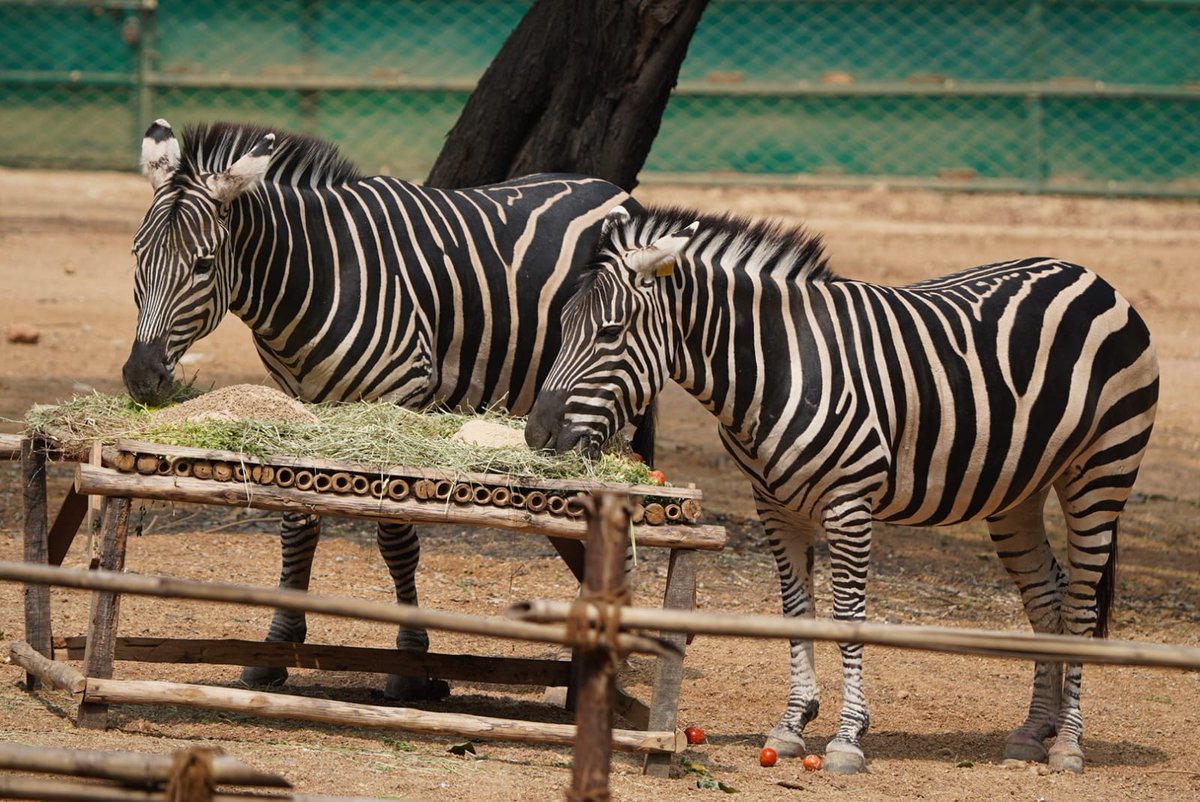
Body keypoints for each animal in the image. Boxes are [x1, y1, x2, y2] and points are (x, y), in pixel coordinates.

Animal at [123, 119, 653, 699]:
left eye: (202, 264)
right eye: (136, 255)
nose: (141, 377)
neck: (317, 276)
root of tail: (611, 189)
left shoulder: (398, 398)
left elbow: (396, 539)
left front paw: (411, 663)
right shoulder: (304, 414)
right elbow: (296, 527)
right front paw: (277, 648)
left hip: (609, 400)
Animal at [525, 204, 1159, 774]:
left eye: (609, 332)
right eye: (562, 326)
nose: (537, 435)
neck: (775, 368)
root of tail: (1089, 275)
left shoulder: (848, 503)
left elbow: (848, 614)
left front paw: (849, 737)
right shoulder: (775, 506)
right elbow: (796, 608)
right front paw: (791, 725)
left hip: (1101, 472)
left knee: (1080, 602)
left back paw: (1068, 744)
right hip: (1017, 492)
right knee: (1047, 596)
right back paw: (1033, 730)